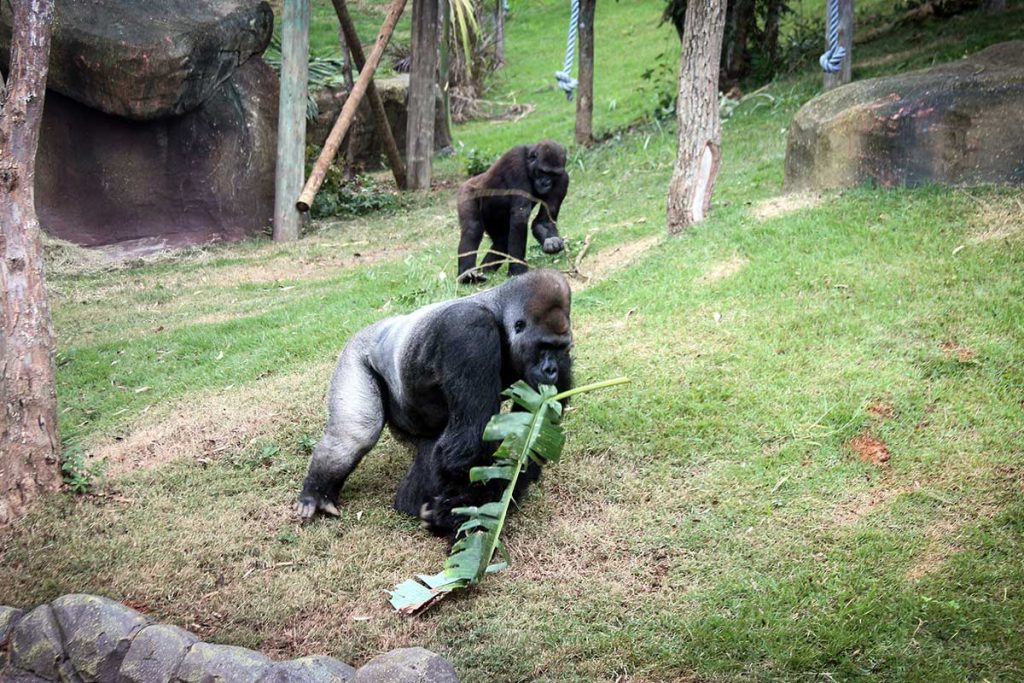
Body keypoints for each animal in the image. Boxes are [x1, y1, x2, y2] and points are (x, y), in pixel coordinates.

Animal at [294, 270, 577, 536]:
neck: (498, 313)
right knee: (356, 433)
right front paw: (460, 514)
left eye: (559, 347)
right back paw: (317, 492)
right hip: (355, 351)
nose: (551, 370)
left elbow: (532, 440)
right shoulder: (468, 331)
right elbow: (469, 442)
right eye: (543, 346)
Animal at [456, 140, 569, 284]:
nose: (546, 183)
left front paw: (551, 241)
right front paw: (518, 270)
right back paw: (466, 274)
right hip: (466, 191)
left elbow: (543, 221)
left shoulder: (563, 178)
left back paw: (485, 270)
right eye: (543, 172)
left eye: (553, 174)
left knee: (502, 241)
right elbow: (520, 216)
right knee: (472, 228)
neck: (529, 163)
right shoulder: (516, 162)